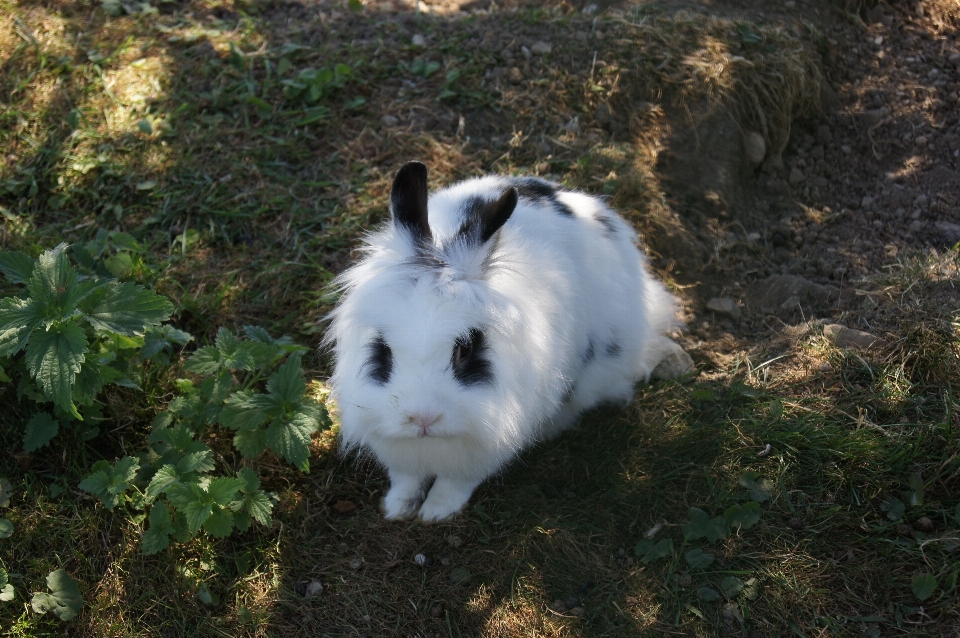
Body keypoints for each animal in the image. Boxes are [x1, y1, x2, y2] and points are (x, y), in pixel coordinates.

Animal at [322, 161, 688, 524]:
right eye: (383, 347)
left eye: (465, 349)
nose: (422, 419)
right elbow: (406, 478)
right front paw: (398, 509)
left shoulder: (490, 440)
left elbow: (456, 482)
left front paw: (436, 513)